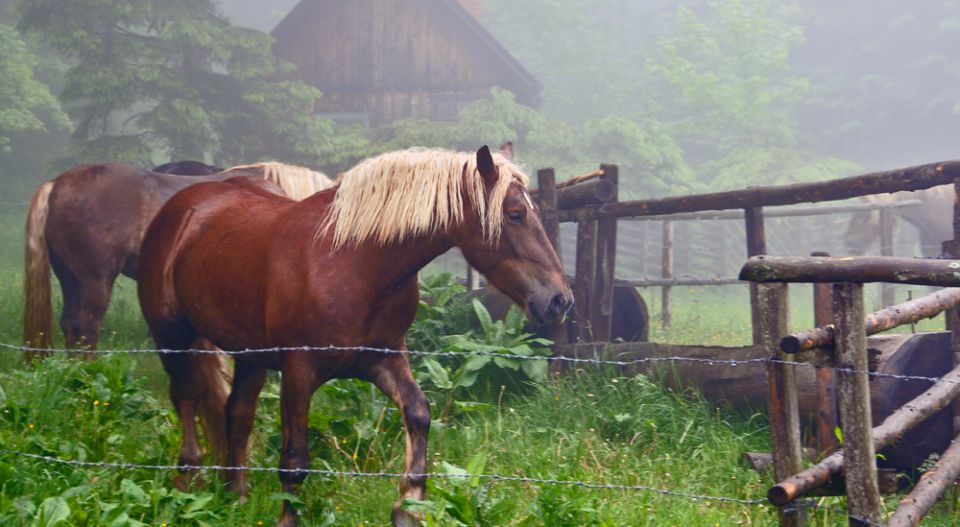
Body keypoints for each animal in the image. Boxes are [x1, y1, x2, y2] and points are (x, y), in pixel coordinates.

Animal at [135, 145, 568, 527]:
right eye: (514, 215)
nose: (559, 299)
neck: (353, 262)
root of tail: (184, 205)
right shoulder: (299, 371)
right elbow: (294, 461)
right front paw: (287, 518)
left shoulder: (384, 359)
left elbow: (418, 413)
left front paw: (408, 508)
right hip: (171, 336)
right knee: (186, 398)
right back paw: (186, 481)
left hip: (249, 355)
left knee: (237, 414)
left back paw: (237, 497)